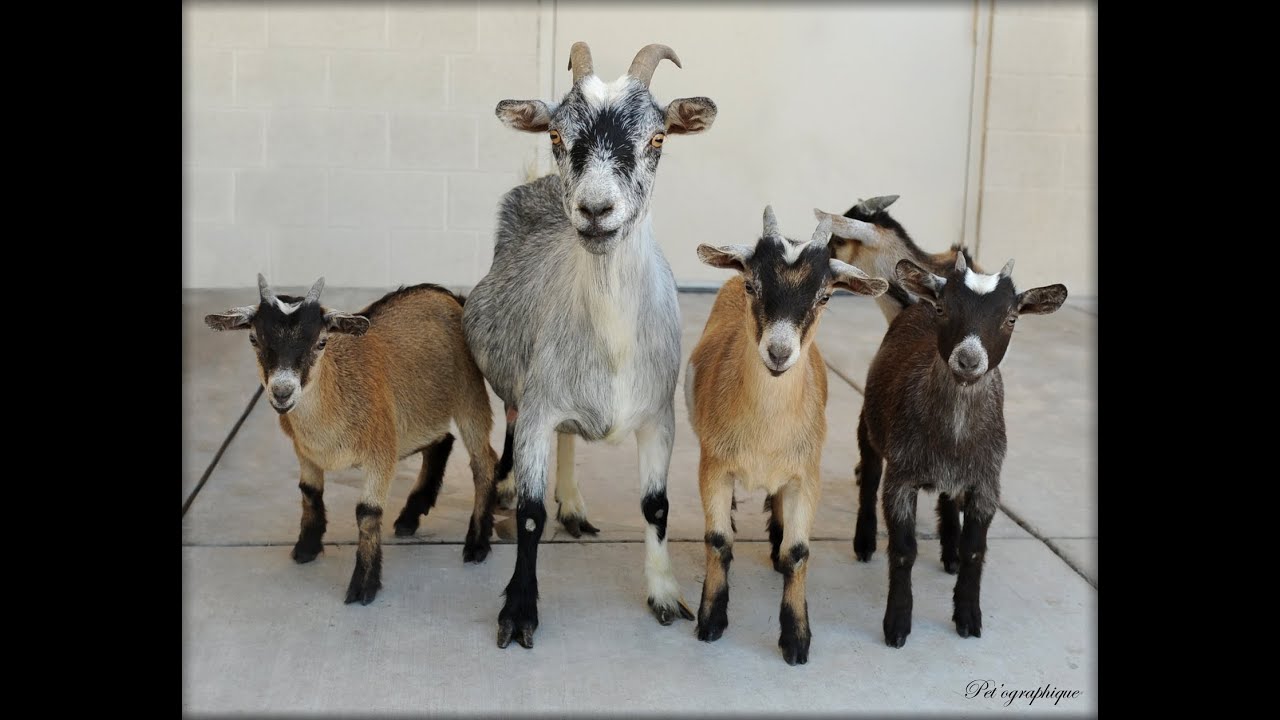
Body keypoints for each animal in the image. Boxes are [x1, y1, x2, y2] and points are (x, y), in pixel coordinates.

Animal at [204, 276, 500, 605]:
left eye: (321, 342)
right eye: (254, 338)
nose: (282, 392)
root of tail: (449, 296)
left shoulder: (381, 451)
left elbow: (367, 513)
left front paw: (364, 585)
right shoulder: (304, 450)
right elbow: (309, 492)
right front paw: (306, 547)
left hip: (468, 392)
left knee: (484, 460)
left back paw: (476, 544)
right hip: (416, 417)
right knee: (442, 441)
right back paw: (410, 516)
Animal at [462, 41, 718, 649]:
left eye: (658, 138)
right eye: (557, 135)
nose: (595, 210)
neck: (612, 344)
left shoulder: (658, 418)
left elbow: (656, 506)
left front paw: (665, 594)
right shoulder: (538, 405)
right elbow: (531, 516)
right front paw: (519, 611)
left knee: (570, 439)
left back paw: (574, 505)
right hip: (519, 388)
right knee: (514, 429)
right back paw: (507, 485)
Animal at [686, 207, 888, 665]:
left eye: (825, 297)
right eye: (752, 285)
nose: (778, 353)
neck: (765, 432)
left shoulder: (805, 475)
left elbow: (798, 553)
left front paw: (796, 640)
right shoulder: (712, 466)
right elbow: (718, 541)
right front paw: (711, 621)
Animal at [855, 254, 1067, 647]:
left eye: (1011, 318)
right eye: (943, 308)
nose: (968, 361)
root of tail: (914, 303)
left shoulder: (986, 483)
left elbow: (975, 549)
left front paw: (968, 616)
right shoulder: (901, 479)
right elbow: (903, 550)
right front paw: (897, 624)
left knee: (949, 496)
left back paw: (949, 549)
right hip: (869, 424)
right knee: (868, 475)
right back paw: (863, 542)